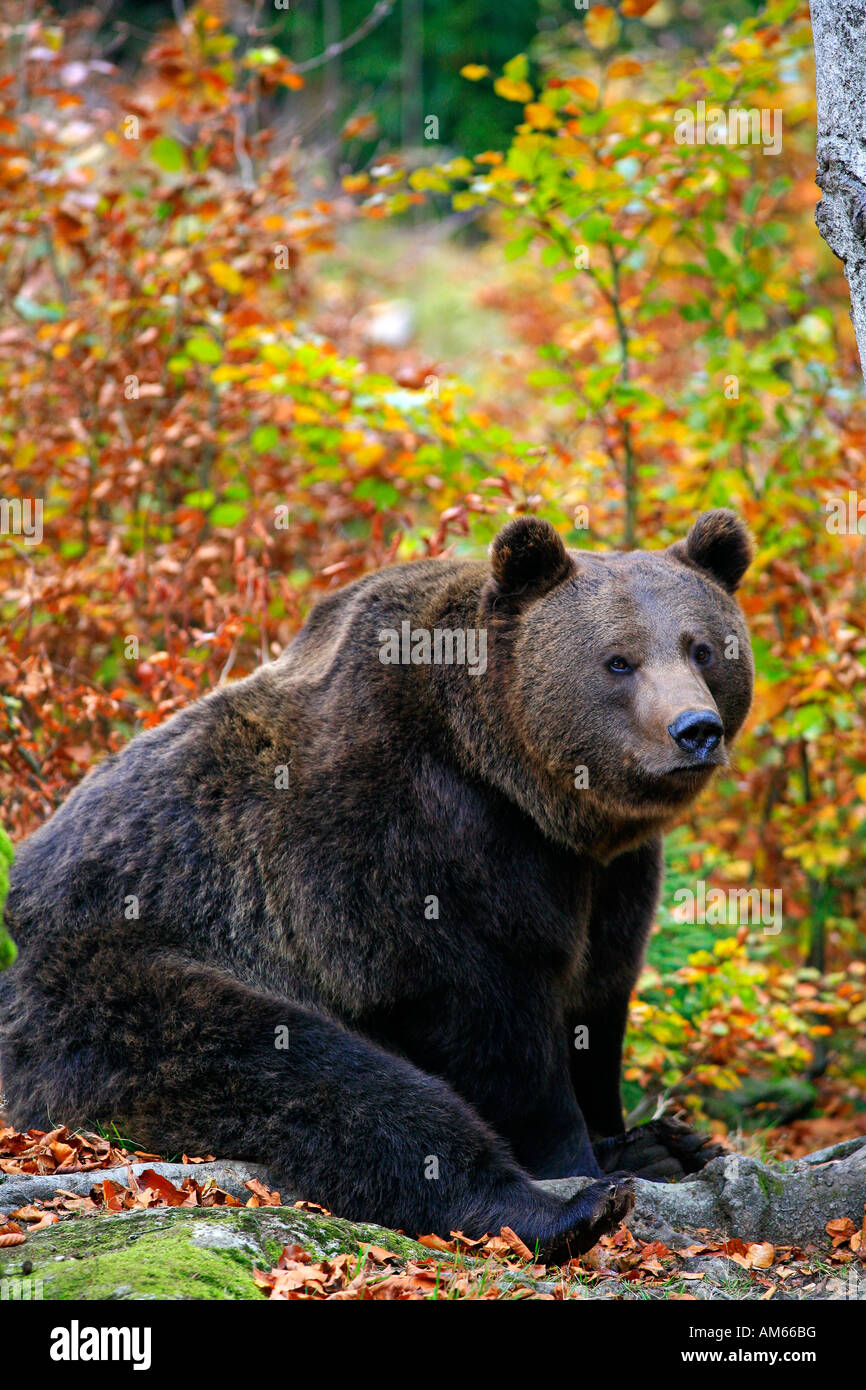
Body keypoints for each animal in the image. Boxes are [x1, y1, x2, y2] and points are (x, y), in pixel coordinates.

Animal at [0, 509, 754, 1258]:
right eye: (618, 660)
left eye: (703, 649)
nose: (695, 730)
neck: (526, 791)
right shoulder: (410, 841)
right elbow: (488, 1015)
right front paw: (583, 1163)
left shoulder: (608, 875)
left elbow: (598, 999)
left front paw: (640, 1140)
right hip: (112, 983)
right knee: (313, 1073)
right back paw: (565, 1210)